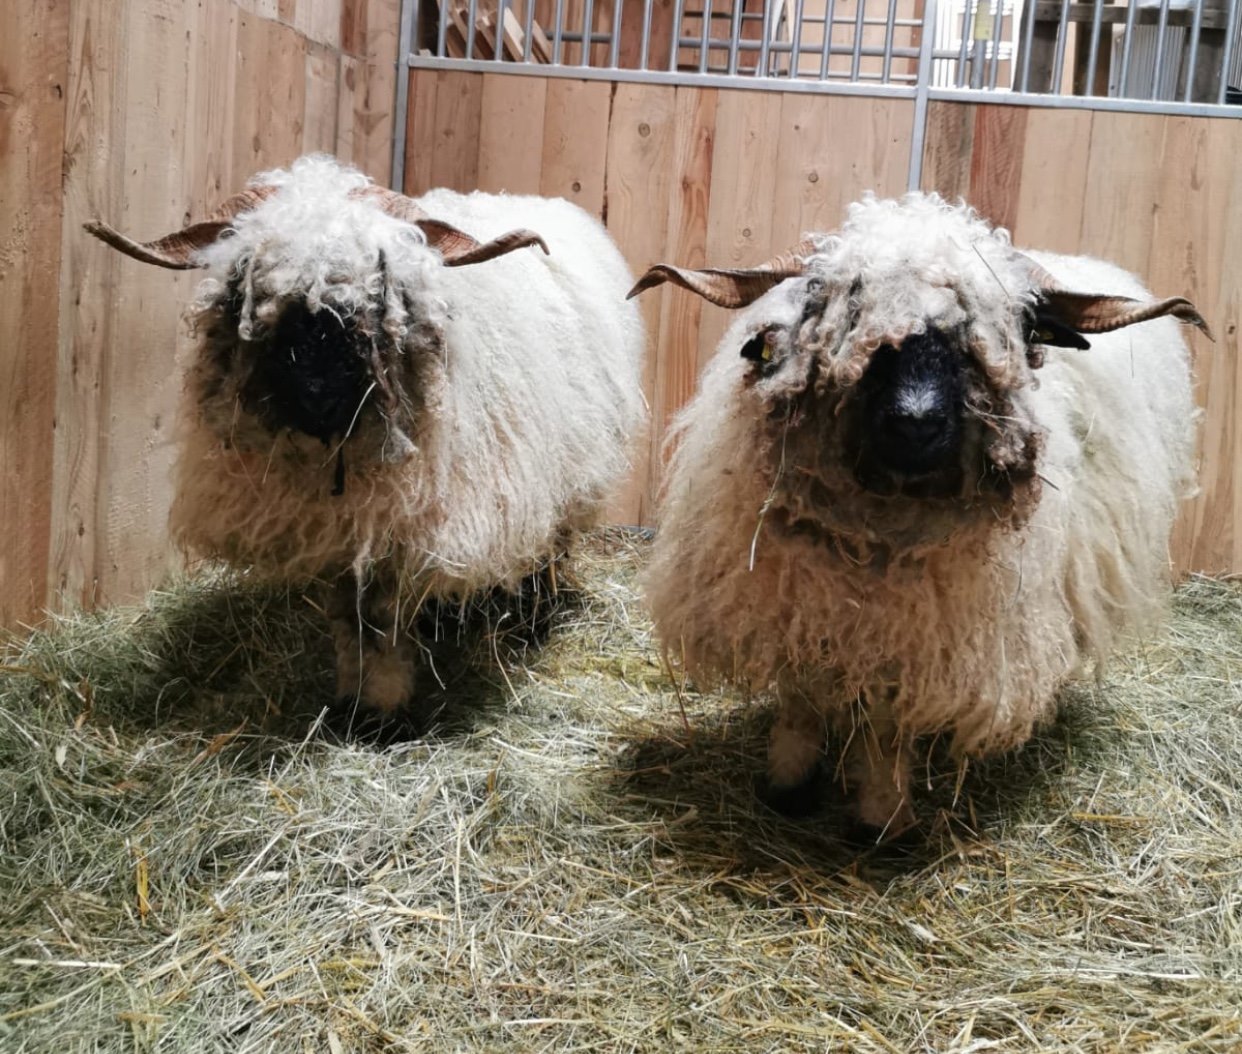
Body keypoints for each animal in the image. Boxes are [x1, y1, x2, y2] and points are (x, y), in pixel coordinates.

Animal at [85, 156, 650, 729]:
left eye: (378, 276)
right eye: (248, 277)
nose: (315, 386)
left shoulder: (403, 523)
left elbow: (378, 618)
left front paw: (384, 711)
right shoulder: (342, 528)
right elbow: (350, 616)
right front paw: (356, 701)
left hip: (563, 480)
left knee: (548, 552)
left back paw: (531, 619)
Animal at [625, 187, 1207, 829]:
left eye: (1014, 329)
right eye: (837, 311)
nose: (916, 423)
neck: (878, 530)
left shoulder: (919, 638)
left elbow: (886, 723)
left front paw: (881, 812)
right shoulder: (797, 602)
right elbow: (801, 697)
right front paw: (788, 783)